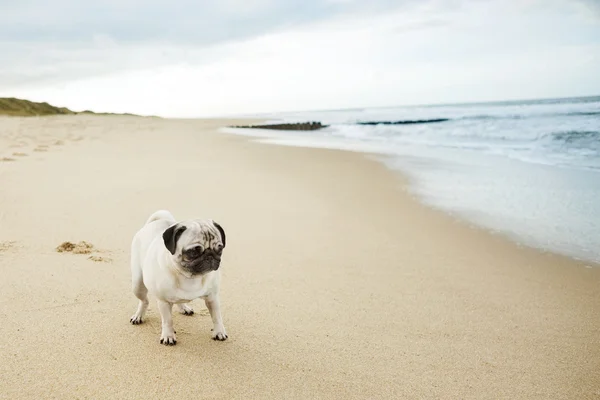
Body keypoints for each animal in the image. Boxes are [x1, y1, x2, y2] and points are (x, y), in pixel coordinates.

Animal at [129, 211, 227, 346]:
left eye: (220, 248)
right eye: (193, 252)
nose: (210, 256)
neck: (189, 277)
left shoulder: (212, 298)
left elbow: (217, 316)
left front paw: (219, 332)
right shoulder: (164, 302)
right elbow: (168, 321)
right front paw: (168, 336)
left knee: (179, 301)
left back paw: (184, 308)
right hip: (137, 285)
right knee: (144, 301)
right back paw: (138, 315)